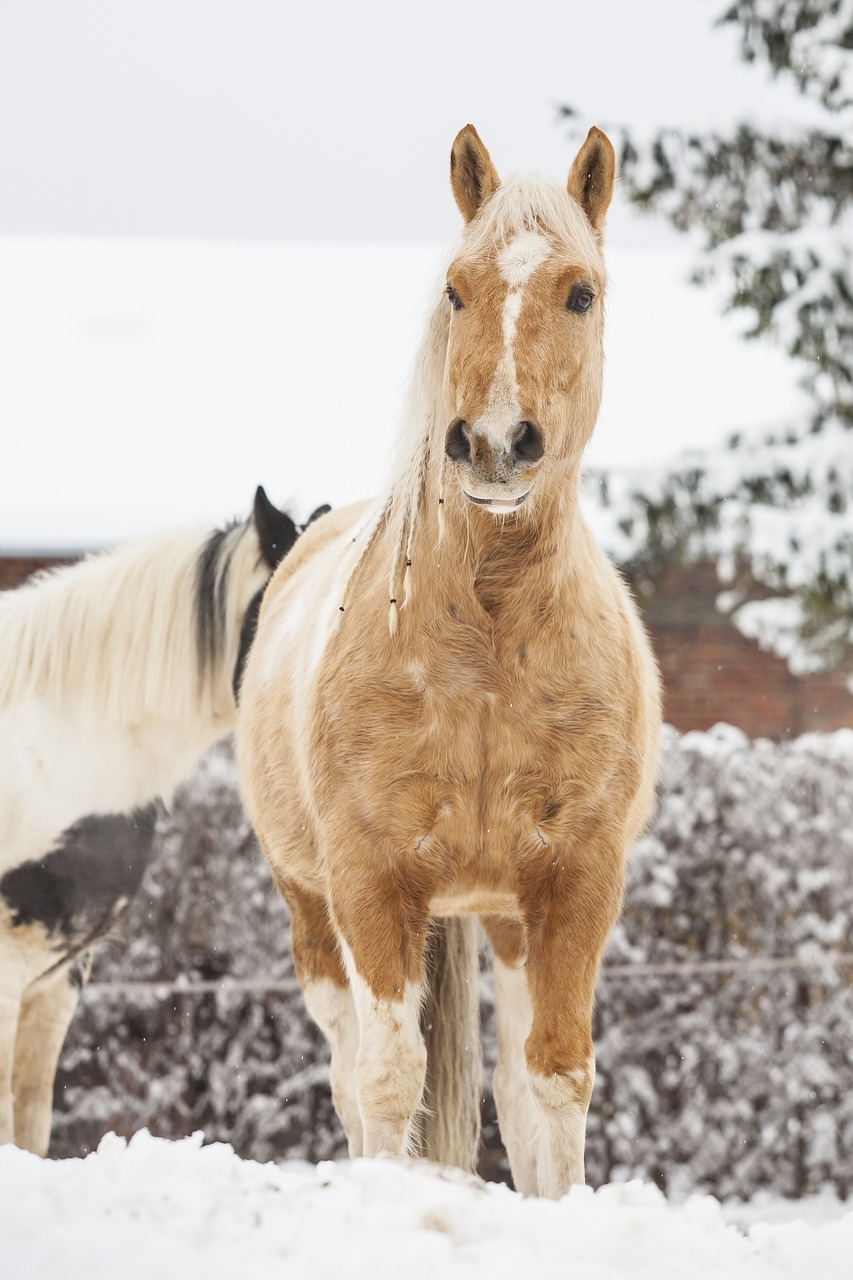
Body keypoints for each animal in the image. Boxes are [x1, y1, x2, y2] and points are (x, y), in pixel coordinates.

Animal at [235, 124, 660, 1192]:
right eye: (456, 290)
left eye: (580, 293)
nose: (496, 444)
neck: (488, 643)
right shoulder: (370, 883)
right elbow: (389, 1079)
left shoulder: (574, 886)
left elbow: (553, 1081)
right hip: (313, 913)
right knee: (350, 1069)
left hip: (502, 919)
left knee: (509, 1083)